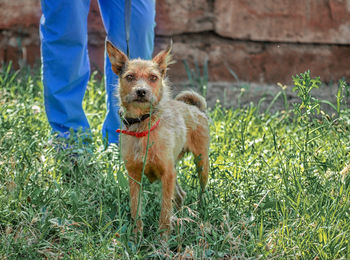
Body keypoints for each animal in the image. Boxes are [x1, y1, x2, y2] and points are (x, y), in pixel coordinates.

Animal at [106, 40, 209, 236]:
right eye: (130, 77)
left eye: (153, 78)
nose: (141, 91)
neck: (142, 127)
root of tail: (195, 108)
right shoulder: (134, 176)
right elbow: (136, 208)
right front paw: (137, 236)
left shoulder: (167, 174)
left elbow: (164, 211)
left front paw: (163, 238)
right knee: (180, 195)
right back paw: (181, 218)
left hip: (201, 164)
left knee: (200, 192)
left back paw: (200, 212)